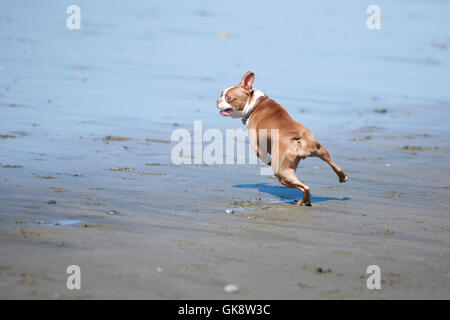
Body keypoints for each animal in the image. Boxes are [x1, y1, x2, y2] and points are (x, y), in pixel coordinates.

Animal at [215, 71, 348, 206]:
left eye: (228, 97)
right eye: (221, 95)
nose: (217, 101)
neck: (255, 104)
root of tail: (298, 138)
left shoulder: (255, 143)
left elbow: (261, 155)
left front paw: (268, 161)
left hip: (282, 172)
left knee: (305, 187)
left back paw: (301, 202)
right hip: (321, 151)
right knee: (334, 166)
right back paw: (340, 178)